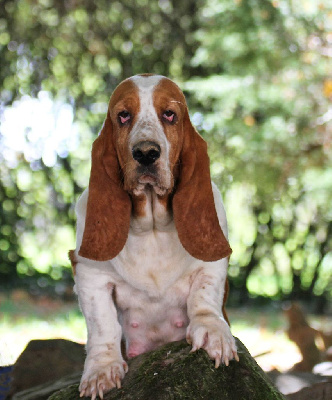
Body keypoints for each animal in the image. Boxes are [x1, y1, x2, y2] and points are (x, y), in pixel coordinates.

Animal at [71, 74, 239, 396]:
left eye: (170, 115)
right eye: (123, 116)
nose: (146, 153)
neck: (152, 228)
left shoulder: (212, 263)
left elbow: (204, 295)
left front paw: (212, 332)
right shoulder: (89, 274)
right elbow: (102, 323)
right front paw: (101, 369)